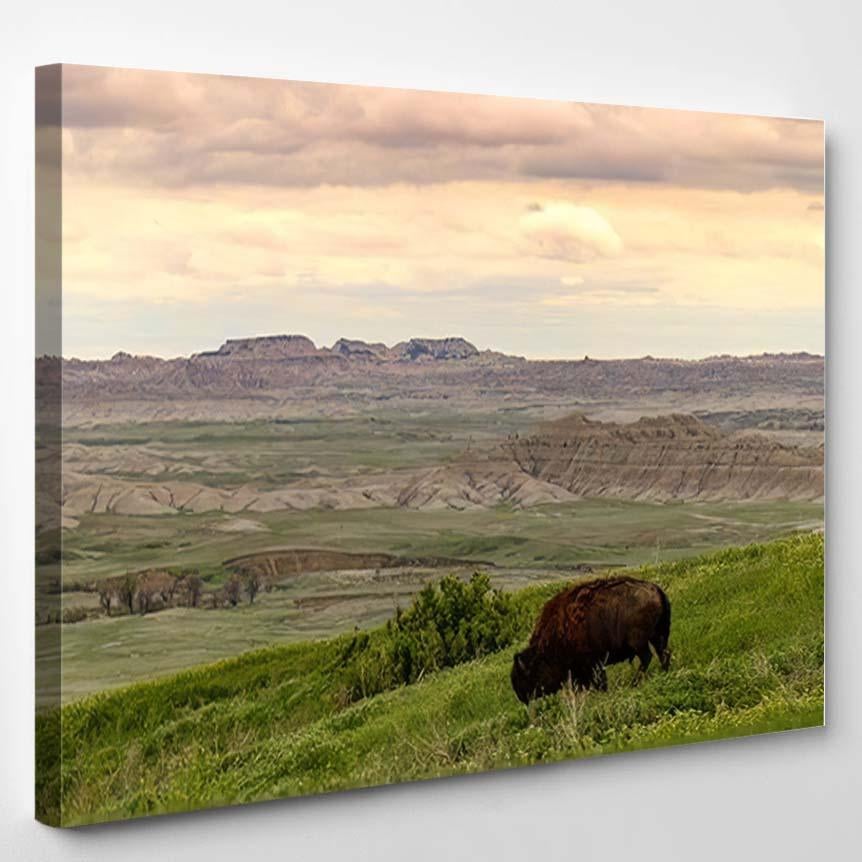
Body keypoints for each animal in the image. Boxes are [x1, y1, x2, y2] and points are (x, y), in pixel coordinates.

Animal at [510, 576, 672, 704]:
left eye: (527, 677)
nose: (523, 698)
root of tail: (656, 590)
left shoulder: (593, 664)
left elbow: (599, 682)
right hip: (658, 635)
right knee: (663, 653)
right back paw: (663, 673)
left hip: (639, 642)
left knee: (647, 657)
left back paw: (635, 683)